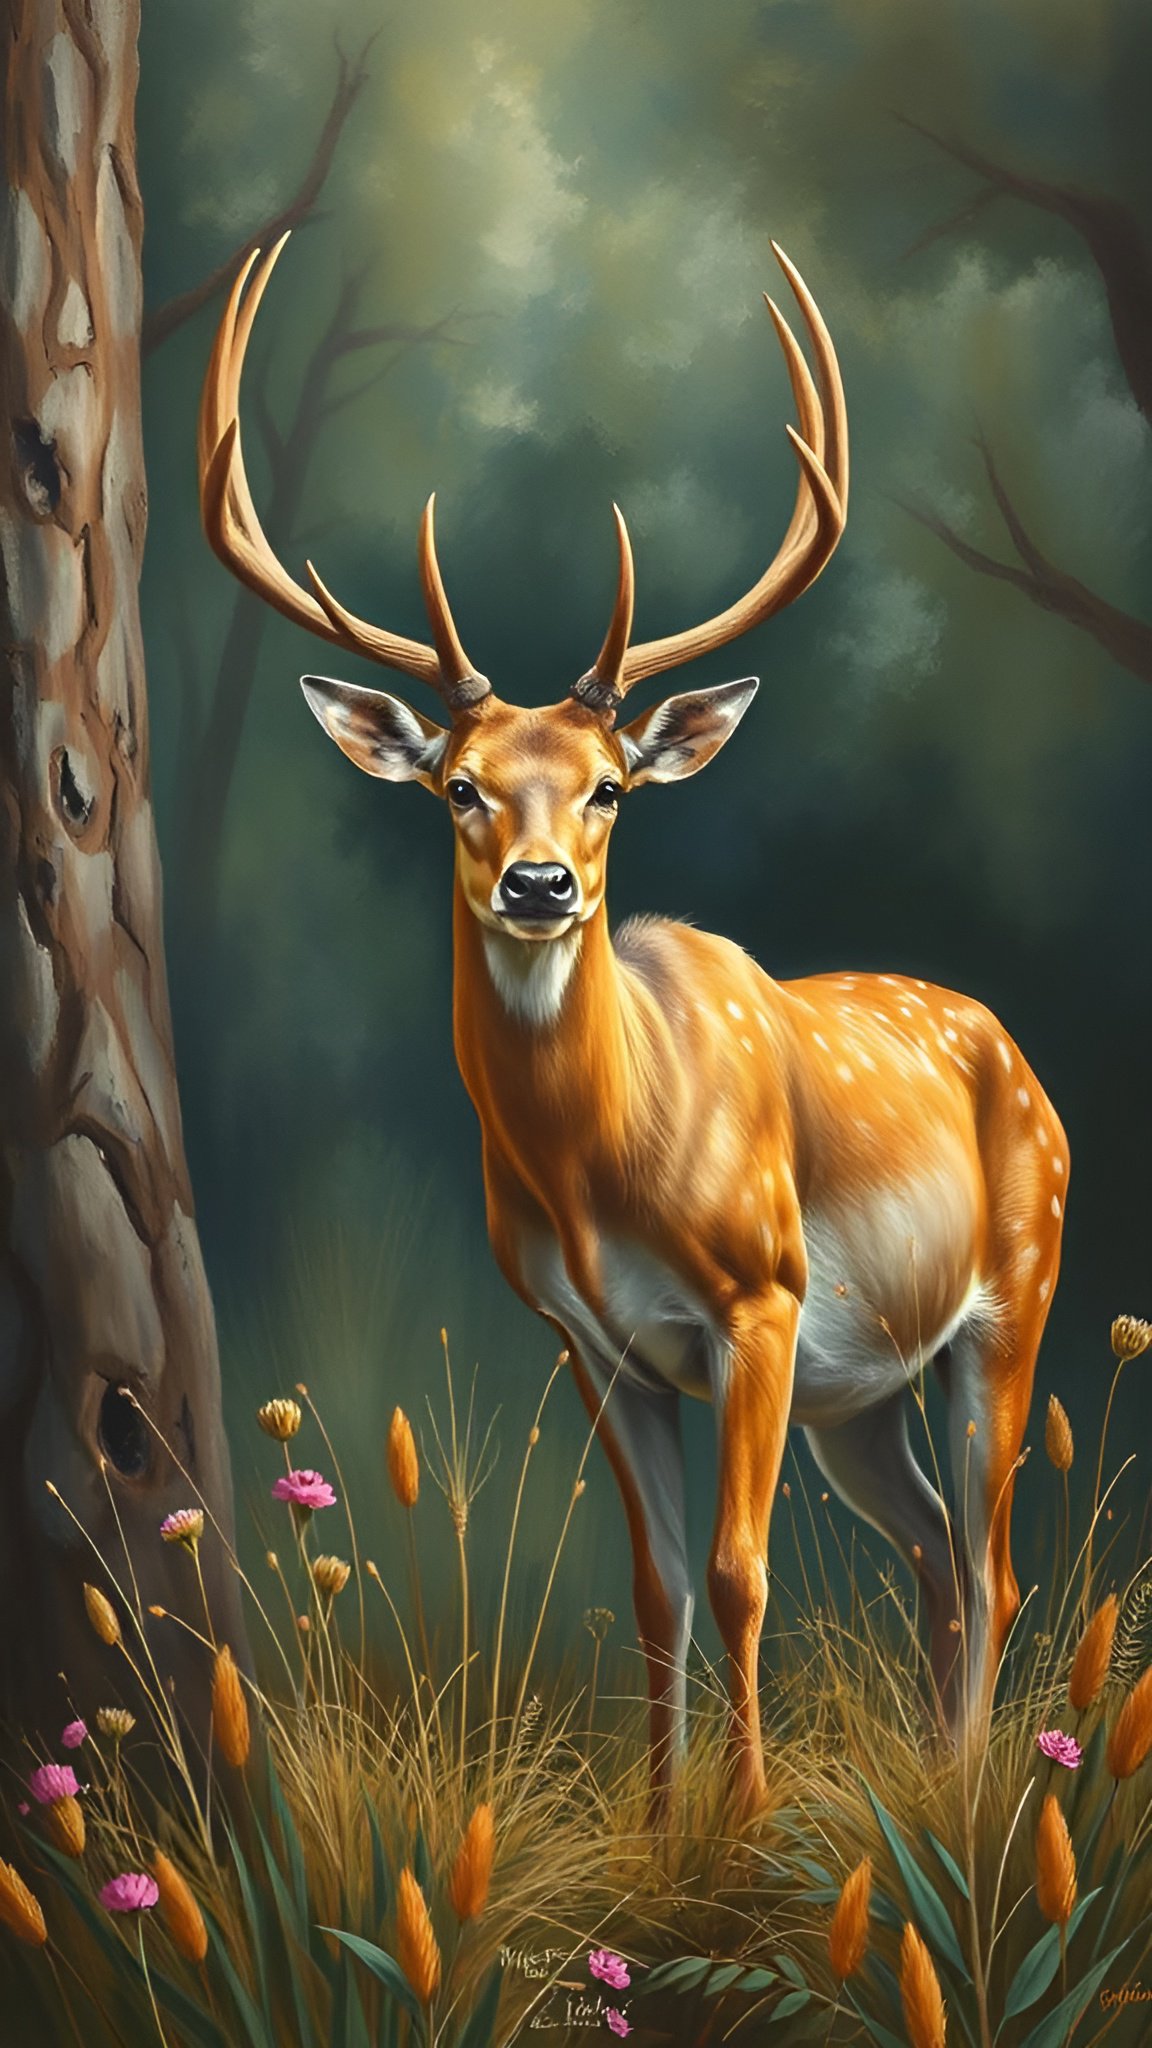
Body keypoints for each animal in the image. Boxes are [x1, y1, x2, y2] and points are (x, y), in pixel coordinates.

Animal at [199, 235, 1066, 1815]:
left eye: (608, 785)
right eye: (460, 786)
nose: (541, 882)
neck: (607, 1165)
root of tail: (1018, 1054)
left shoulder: (762, 1296)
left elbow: (738, 1574)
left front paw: (747, 1821)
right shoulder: (592, 1341)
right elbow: (658, 1587)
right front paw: (663, 1827)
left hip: (1009, 1298)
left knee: (993, 1559)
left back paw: (971, 1791)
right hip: (866, 1397)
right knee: (934, 1555)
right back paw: (937, 1778)